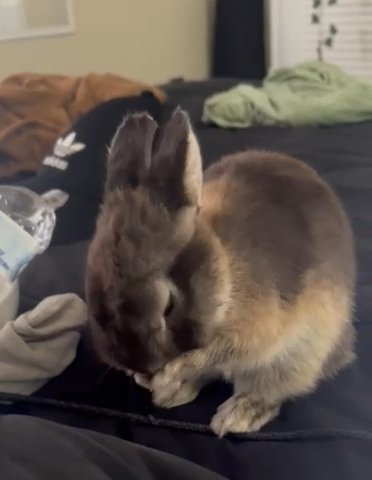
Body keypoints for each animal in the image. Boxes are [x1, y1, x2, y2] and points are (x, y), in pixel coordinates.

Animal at [85, 109, 356, 438]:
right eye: (94, 302)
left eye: (168, 306)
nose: (144, 367)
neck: (226, 278)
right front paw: (153, 382)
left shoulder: (256, 329)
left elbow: (213, 354)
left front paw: (166, 376)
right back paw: (173, 396)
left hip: (302, 353)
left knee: (270, 389)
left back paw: (235, 416)